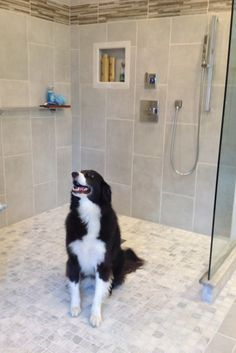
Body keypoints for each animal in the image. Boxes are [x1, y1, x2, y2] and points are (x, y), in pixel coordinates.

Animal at [65, 169, 145, 326]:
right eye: (80, 171)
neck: (89, 213)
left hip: (119, 259)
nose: (73, 173)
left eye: (91, 175)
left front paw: (95, 315)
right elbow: (75, 286)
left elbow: (97, 293)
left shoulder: (103, 263)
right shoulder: (73, 259)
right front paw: (75, 307)